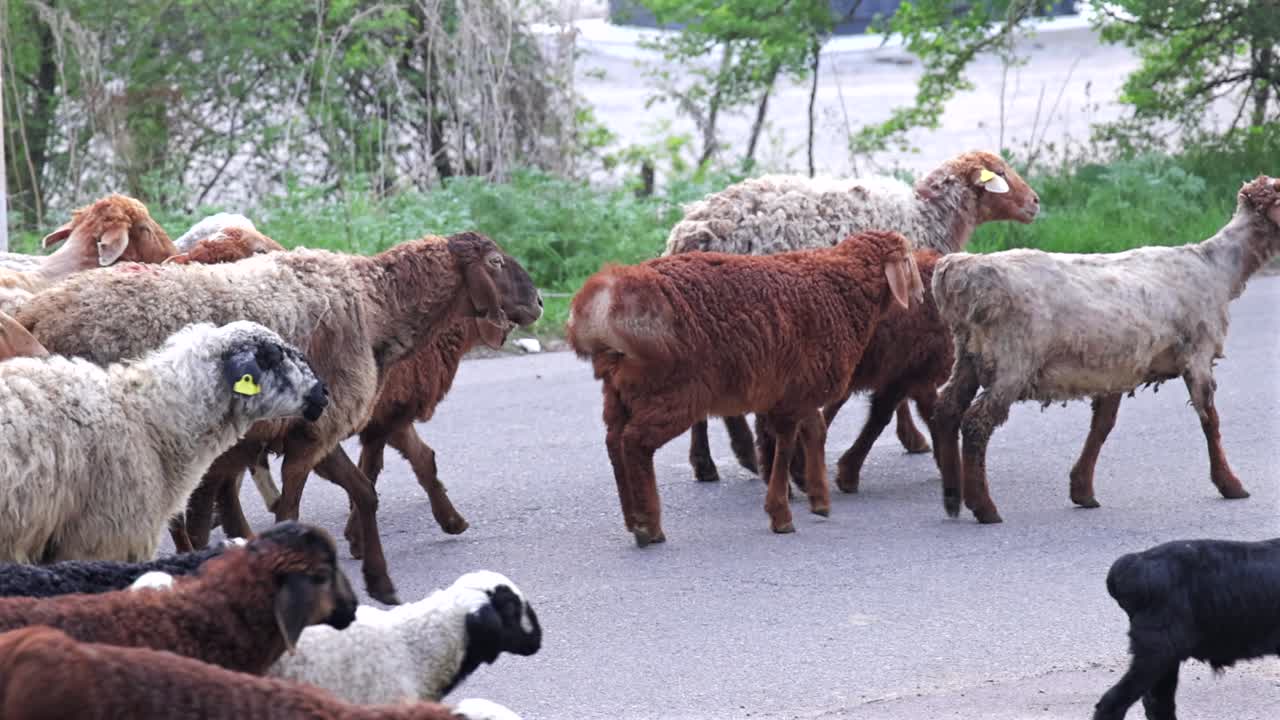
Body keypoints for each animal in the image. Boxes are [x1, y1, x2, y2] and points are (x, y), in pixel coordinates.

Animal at [568, 229, 924, 544]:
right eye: (908, 259)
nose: (922, 295)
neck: (838, 290)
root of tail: (607, 306)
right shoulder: (793, 394)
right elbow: (785, 445)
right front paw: (781, 514)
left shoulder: (801, 387)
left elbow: (814, 433)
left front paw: (819, 499)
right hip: (673, 393)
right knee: (635, 444)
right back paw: (648, 526)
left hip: (619, 393)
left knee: (614, 442)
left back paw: (632, 518)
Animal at [664, 150, 1040, 485]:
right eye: (1000, 174)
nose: (1035, 202)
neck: (926, 216)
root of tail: (689, 233)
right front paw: (912, 438)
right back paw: (742, 454)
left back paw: (708, 463)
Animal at [931, 175, 1280, 524]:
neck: (1218, 266)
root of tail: (961, 273)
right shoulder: (1198, 355)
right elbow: (1211, 421)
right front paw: (1230, 484)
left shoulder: (1116, 367)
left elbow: (1102, 426)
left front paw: (1082, 489)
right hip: (1012, 359)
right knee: (975, 423)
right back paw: (983, 507)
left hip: (969, 355)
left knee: (946, 409)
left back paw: (952, 497)